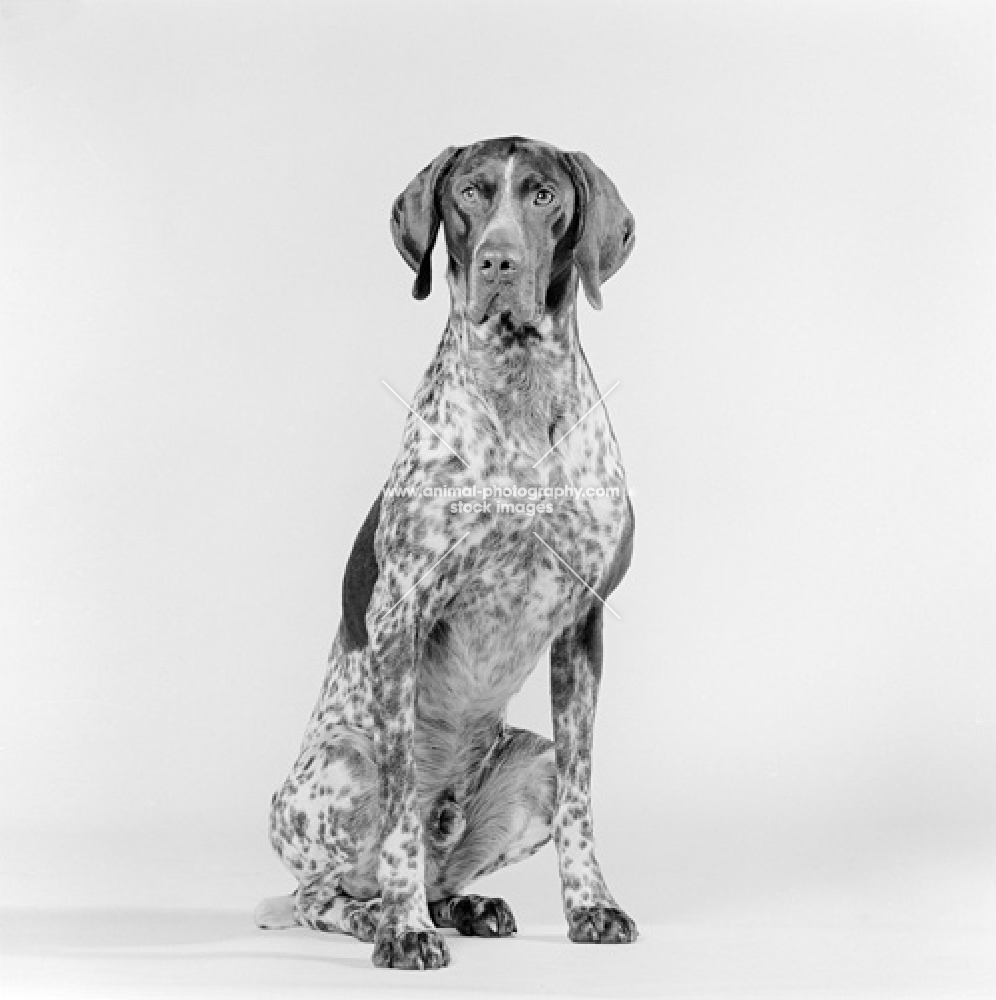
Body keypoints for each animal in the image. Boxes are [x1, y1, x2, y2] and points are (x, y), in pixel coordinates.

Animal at [256, 135, 640, 968]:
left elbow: (584, 799)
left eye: (543, 195)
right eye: (469, 193)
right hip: (334, 775)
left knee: (443, 871)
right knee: (322, 895)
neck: (521, 393)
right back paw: (383, 914)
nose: (497, 261)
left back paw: (463, 904)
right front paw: (403, 933)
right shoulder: (403, 617)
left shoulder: (582, 628)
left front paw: (591, 908)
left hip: (532, 762)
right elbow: (401, 806)